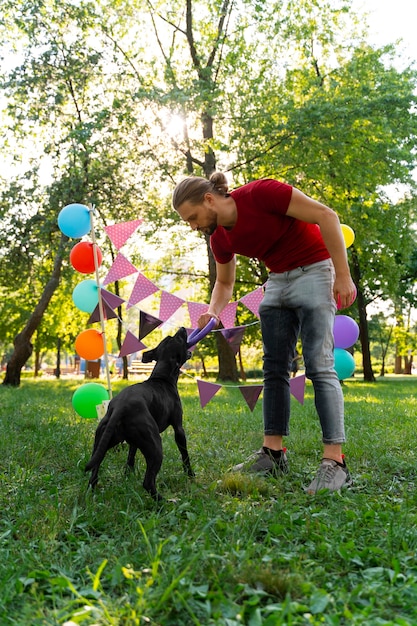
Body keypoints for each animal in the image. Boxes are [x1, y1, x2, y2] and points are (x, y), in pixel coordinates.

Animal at [85, 326, 195, 498]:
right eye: (178, 338)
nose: (183, 328)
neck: (162, 377)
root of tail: (119, 407)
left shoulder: (133, 442)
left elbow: (131, 456)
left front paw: (127, 475)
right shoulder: (179, 429)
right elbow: (185, 455)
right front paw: (190, 475)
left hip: (101, 443)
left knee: (94, 473)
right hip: (155, 447)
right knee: (148, 482)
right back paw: (164, 501)